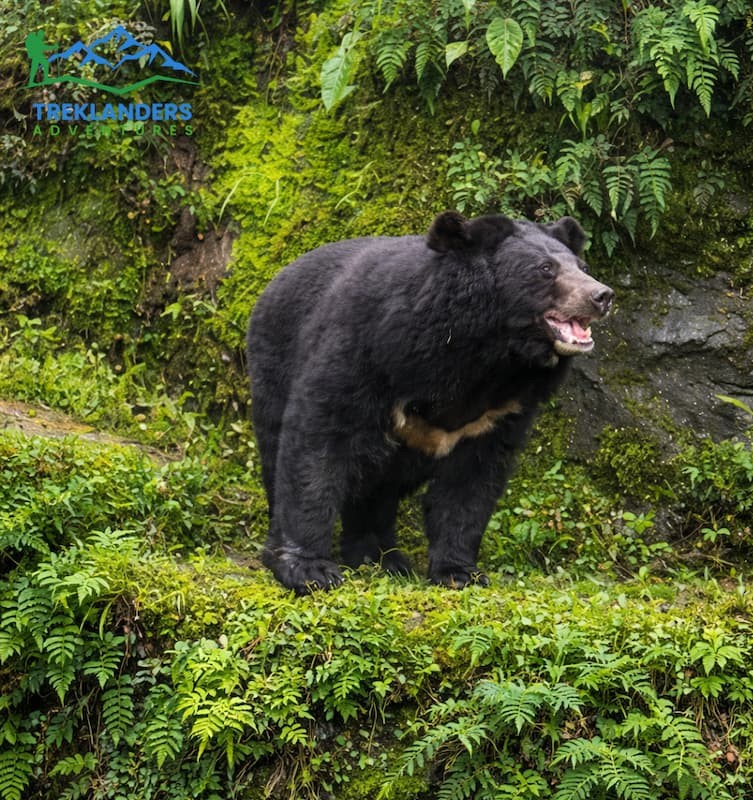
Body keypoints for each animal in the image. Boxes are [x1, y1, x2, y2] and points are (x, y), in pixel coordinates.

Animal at [247, 211, 614, 593]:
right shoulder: (364, 350)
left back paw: (381, 557)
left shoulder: (498, 412)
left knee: (375, 491)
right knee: (278, 449)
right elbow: (317, 444)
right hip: (274, 362)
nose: (602, 295)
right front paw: (308, 569)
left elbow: (471, 483)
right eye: (545, 268)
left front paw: (459, 572)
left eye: (583, 266)